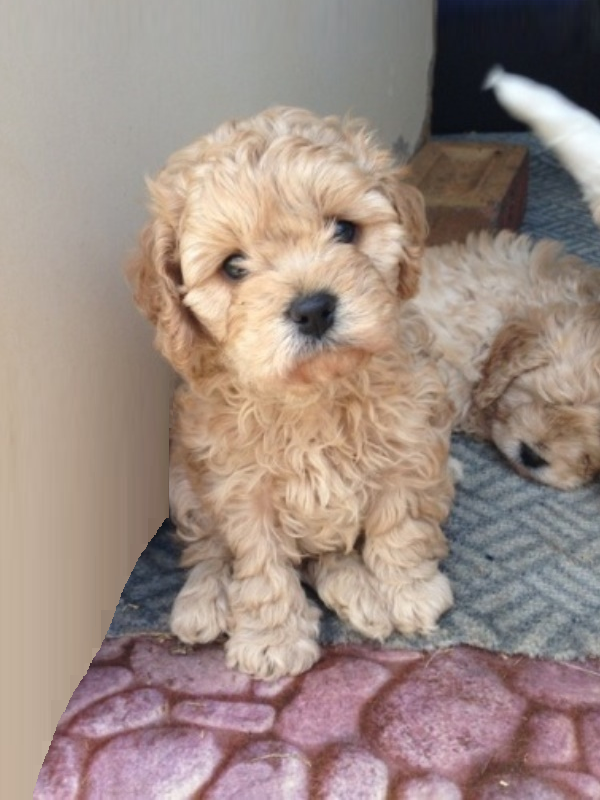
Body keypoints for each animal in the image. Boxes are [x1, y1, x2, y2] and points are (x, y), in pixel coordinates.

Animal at [126, 106, 454, 680]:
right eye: (233, 267)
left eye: (344, 230)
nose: (314, 309)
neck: (315, 395)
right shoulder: (240, 489)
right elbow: (259, 564)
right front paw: (272, 638)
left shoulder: (410, 446)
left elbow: (400, 522)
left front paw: (409, 589)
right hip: (184, 485)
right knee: (210, 552)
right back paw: (202, 603)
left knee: (329, 555)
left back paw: (360, 594)